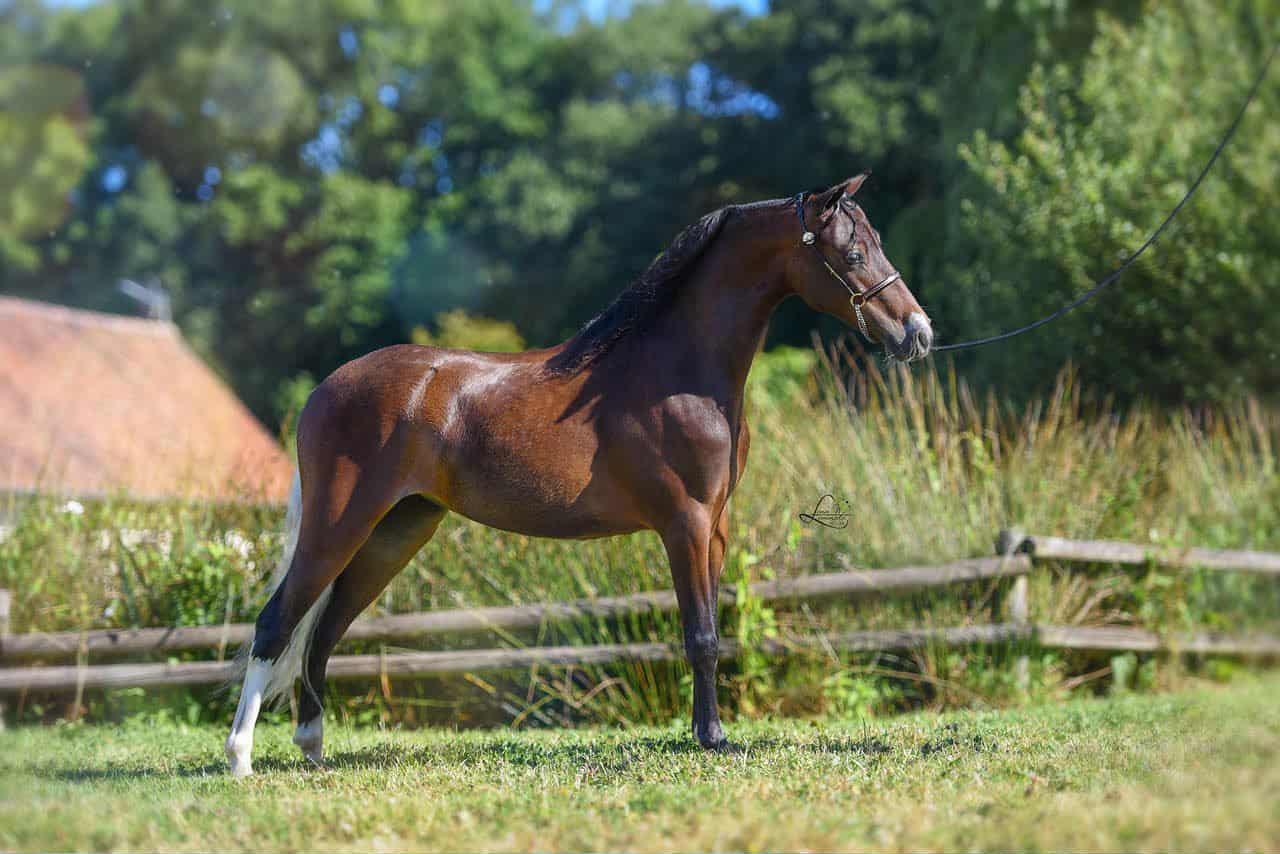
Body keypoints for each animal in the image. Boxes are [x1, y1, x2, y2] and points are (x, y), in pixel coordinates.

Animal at [225, 174, 933, 776]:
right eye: (854, 252)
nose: (918, 332)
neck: (678, 371)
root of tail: (325, 389)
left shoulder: (716, 528)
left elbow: (712, 630)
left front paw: (710, 732)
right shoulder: (684, 524)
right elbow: (700, 635)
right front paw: (712, 740)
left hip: (395, 531)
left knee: (323, 629)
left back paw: (313, 749)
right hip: (339, 522)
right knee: (276, 622)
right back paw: (240, 758)